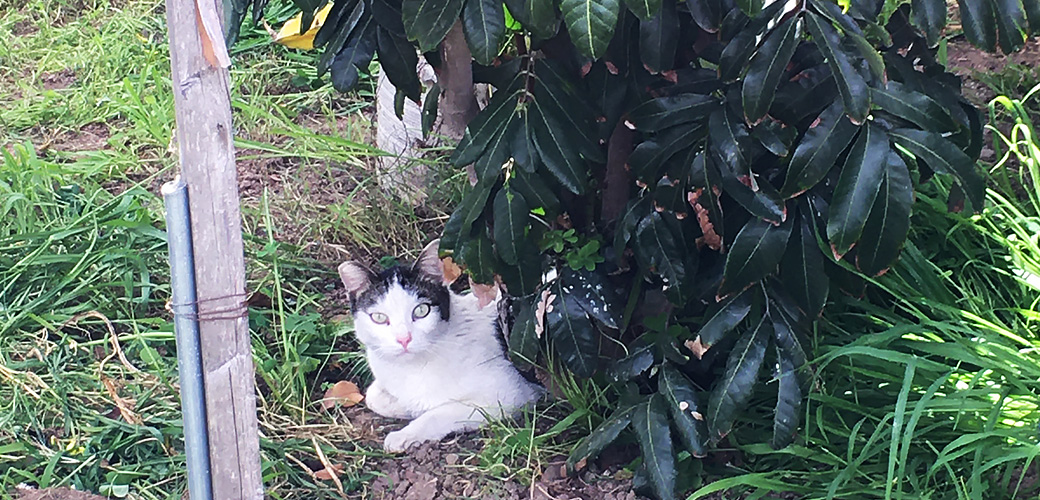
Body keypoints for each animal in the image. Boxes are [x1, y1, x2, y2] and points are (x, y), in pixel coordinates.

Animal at [336, 239, 544, 453]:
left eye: (421, 311)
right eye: (378, 317)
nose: (404, 339)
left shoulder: (508, 395)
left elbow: (439, 412)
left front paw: (405, 434)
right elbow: (373, 396)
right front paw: (410, 407)